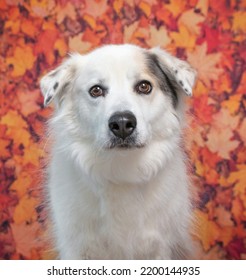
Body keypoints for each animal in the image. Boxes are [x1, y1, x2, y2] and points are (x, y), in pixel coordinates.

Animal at [41, 43, 197, 260]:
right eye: (96, 90)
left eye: (144, 86)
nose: (122, 123)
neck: (121, 169)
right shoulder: (78, 248)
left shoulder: (160, 247)